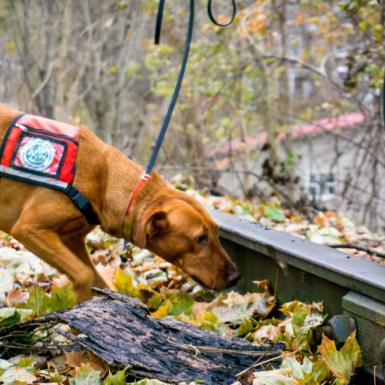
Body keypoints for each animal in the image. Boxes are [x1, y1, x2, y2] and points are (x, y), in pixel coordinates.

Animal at [0, 103, 240, 302]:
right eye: (200, 238)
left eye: (216, 232)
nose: (236, 277)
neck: (102, 177)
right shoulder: (28, 228)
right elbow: (84, 275)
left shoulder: (72, 241)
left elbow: (98, 280)